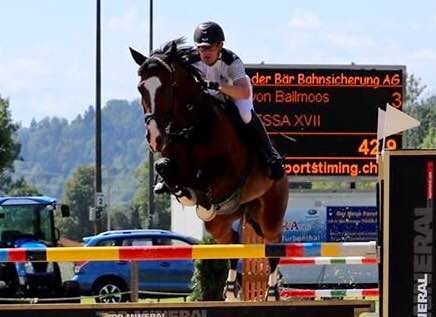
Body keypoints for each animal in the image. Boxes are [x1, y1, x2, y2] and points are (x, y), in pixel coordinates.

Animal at [127, 38, 288, 300]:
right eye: (141, 88)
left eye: (166, 87)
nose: (154, 139)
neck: (192, 127)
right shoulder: (174, 162)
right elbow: (166, 169)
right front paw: (183, 192)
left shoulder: (227, 175)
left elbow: (205, 177)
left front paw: (198, 197)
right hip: (222, 222)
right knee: (233, 239)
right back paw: (231, 290)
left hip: (270, 212)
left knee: (273, 244)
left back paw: (272, 291)